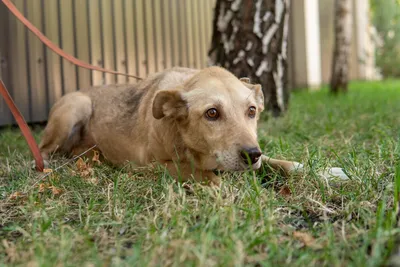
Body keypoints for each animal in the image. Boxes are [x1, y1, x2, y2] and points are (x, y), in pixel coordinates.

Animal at [39, 66, 346, 186]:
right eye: (212, 113)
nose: (251, 155)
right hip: (76, 106)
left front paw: (327, 172)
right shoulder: (153, 166)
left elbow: (282, 163)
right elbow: (204, 175)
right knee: (44, 149)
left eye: (252, 111)